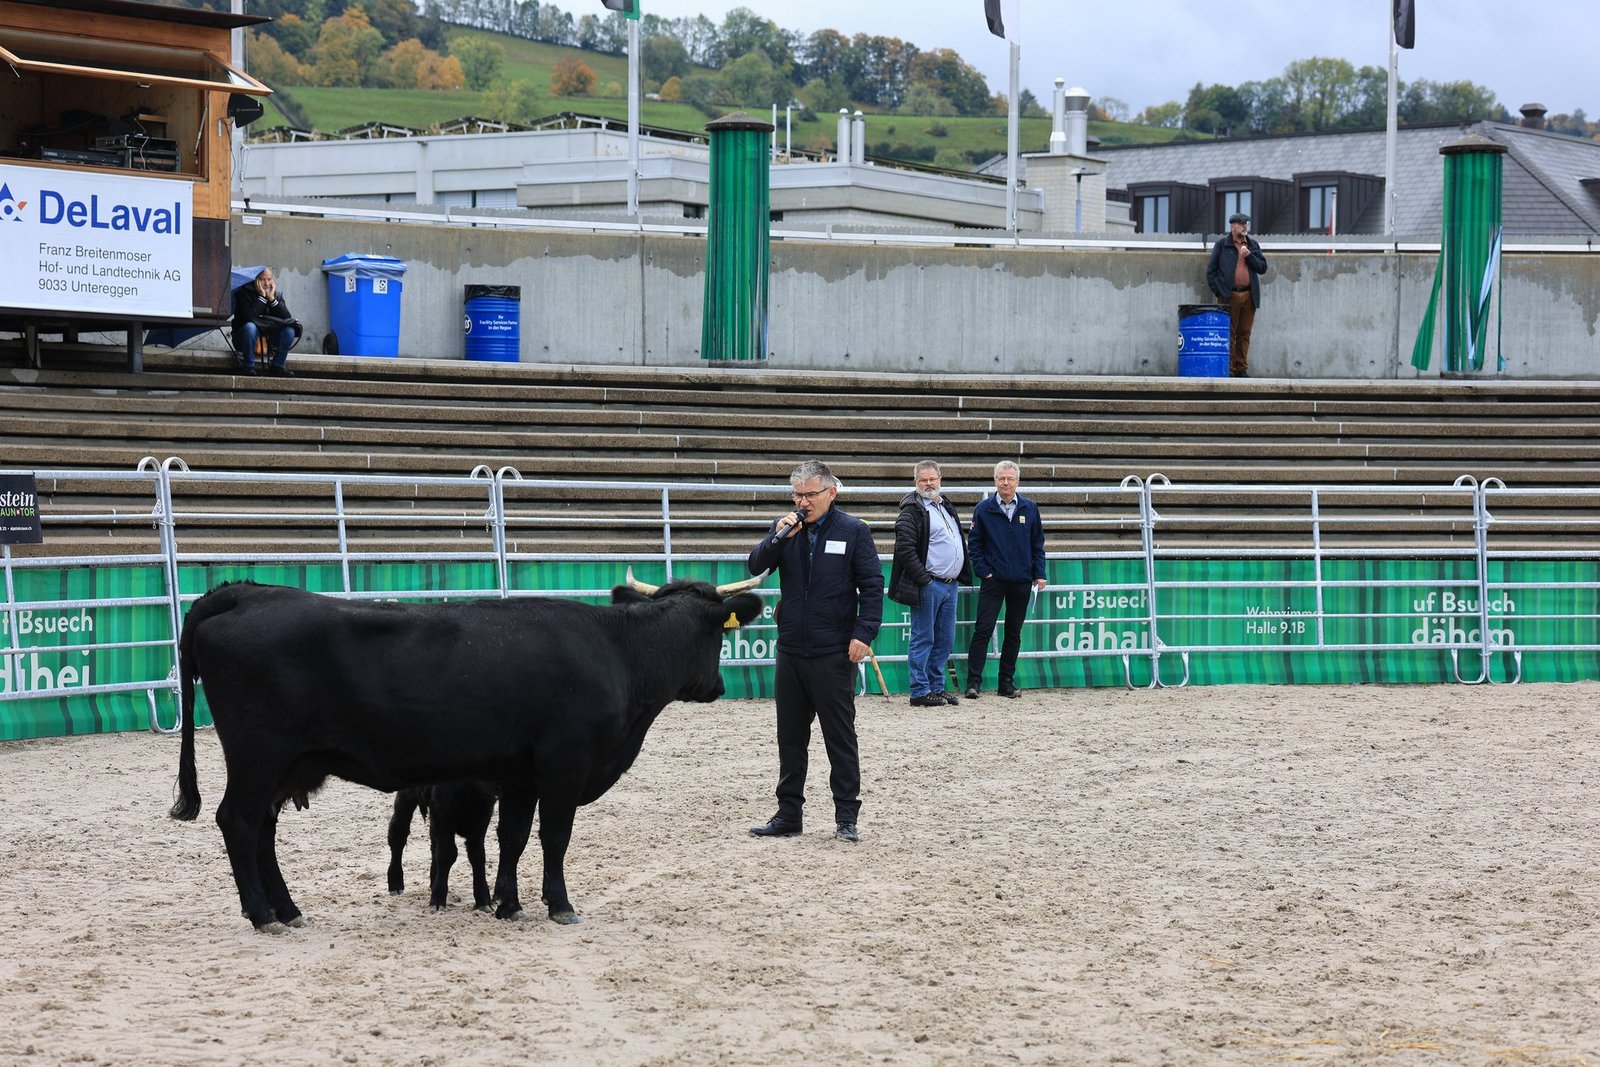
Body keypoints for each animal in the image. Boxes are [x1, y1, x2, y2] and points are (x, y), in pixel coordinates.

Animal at [387, 781, 498, 912]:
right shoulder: (443, 815)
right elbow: (447, 854)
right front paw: (438, 899)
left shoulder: (483, 818)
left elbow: (478, 856)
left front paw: (483, 901)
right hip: (406, 798)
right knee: (398, 834)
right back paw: (396, 884)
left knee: (433, 844)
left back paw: (433, 879)